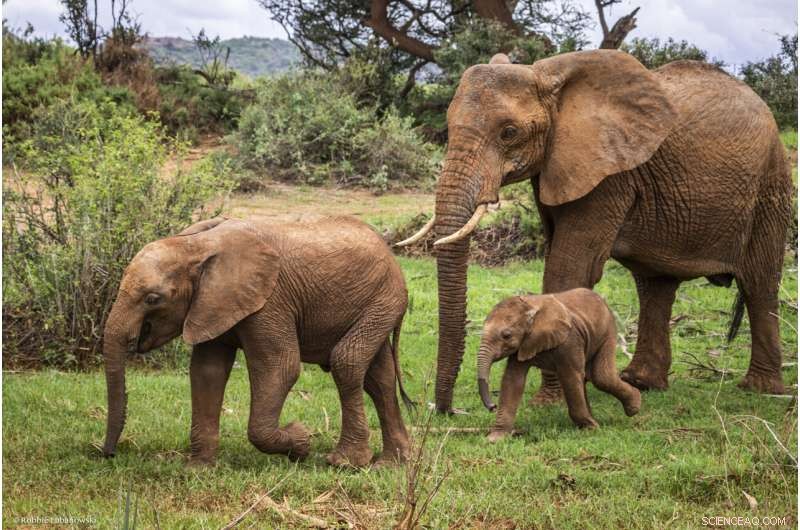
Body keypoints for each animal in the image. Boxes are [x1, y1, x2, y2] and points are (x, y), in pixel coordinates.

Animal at [102, 216, 412, 467]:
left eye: (153, 299)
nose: (109, 454)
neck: (197, 246)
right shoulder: (211, 303)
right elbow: (207, 372)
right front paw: (198, 469)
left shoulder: (270, 301)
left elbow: (280, 368)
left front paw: (301, 441)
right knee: (379, 378)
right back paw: (392, 463)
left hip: (384, 299)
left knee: (348, 361)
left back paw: (346, 463)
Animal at [398, 49, 792, 412]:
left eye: (509, 132)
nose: (445, 410)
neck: (547, 76)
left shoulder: (609, 174)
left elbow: (569, 267)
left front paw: (547, 402)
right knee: (655, 286)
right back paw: (642, 383)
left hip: (771, 182)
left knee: (759, 282)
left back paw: (760, 390)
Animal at [476, 290, 640, 441]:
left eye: (506, 335)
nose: (492, 407)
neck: (531, 306)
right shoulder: (523, 344)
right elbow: (512, 380)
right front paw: (495, 438)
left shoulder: (570, 341)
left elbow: (570, 377)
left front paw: (591, 429)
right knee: (588, 377)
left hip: (608, 330)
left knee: (601, 376)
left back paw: (634, 408)